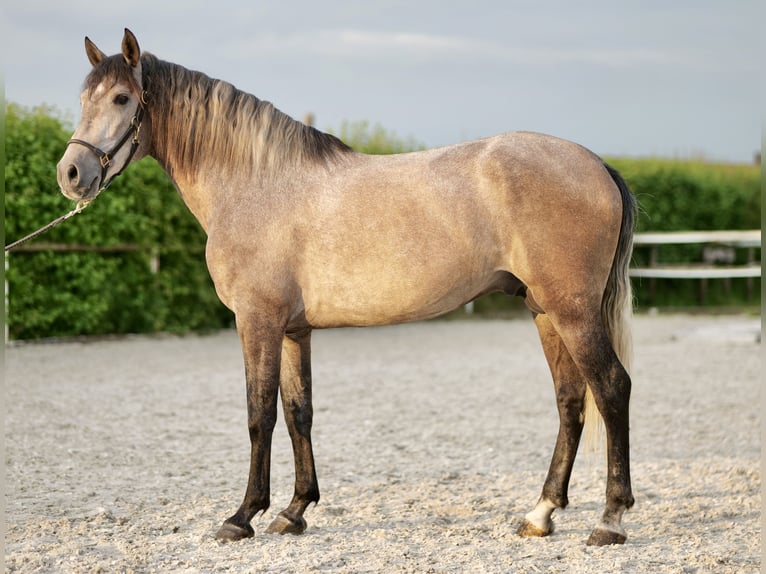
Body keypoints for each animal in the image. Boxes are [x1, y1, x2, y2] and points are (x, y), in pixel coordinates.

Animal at [57, 28, 640, 548]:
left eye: (122, 98)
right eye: (83, 98)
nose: (70, 173)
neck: (255, 184)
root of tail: (597, 164)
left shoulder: (257, 321)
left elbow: (258, 414)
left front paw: (242, 516)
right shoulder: (294, 330)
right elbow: (299, 412)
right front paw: (293, 511)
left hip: (573, 312)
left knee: (612, 389)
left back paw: (610, 520)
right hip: (546, 312)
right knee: (570, 401)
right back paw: (541, 514)